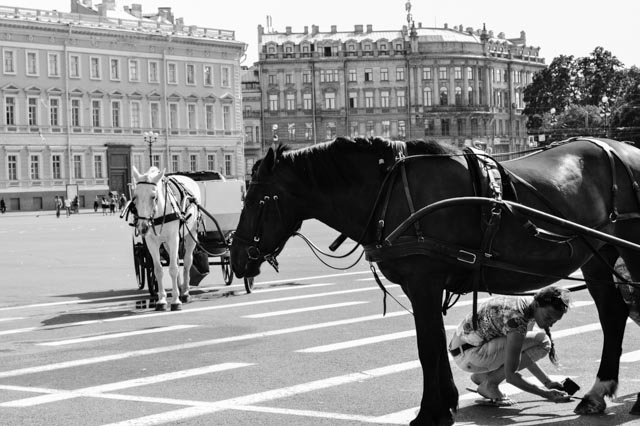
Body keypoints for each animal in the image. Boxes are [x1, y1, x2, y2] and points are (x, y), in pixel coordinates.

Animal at [130, 168, 200, 312]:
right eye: (135, 197)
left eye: (153, 196)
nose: (143, 227)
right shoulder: (151, 242)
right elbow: (158, 270)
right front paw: (161, 300)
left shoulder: (174, 238)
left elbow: (173, 268)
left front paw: (176, 301)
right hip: (168, 244)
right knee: (177, 262)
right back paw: (179, 288)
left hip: (191, 234)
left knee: (187, 262)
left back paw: (185, 292)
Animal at [231, 137, 640, 426]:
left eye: (254, 198)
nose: (236, 258)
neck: (391, 194)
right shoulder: (424, 289)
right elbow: (433, 346)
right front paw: (446, 404)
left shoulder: (423, 283)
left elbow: (427, 347)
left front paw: (430, 412)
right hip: (597, 258)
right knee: (614, 315)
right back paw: (597, 394)